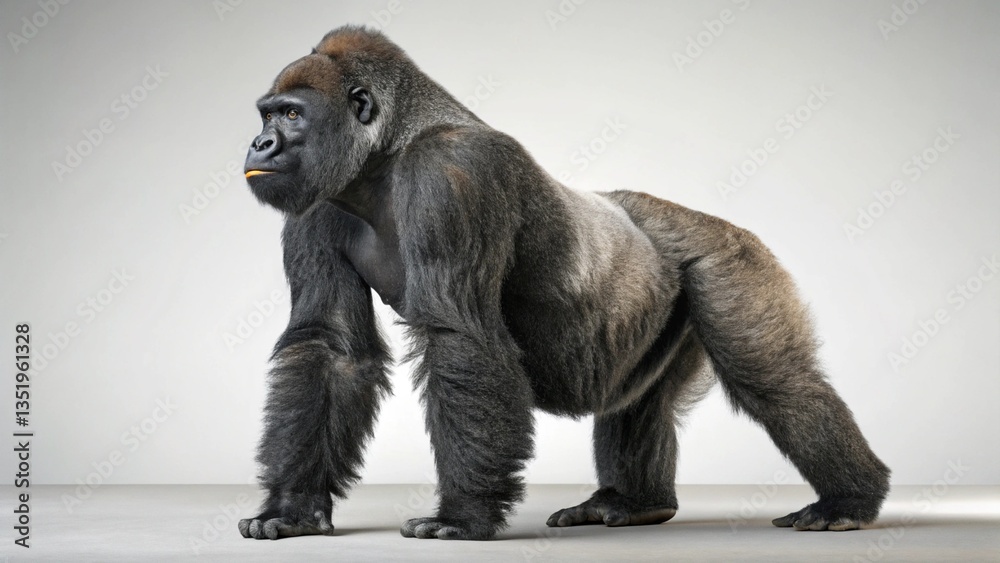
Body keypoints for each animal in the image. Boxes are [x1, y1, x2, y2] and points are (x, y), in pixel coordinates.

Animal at [237, 25, 890, 541]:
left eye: (291, 114)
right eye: (267, 114)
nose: (259, 144)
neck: (389, 149)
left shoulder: (455, 172)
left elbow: (459, 336)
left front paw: (464, 514)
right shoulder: (317, 202)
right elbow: (331, 348)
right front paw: (293, 507)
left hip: (731, 257)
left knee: (773, 381)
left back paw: (851, 499)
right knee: (642, 400)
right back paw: (637, 502)